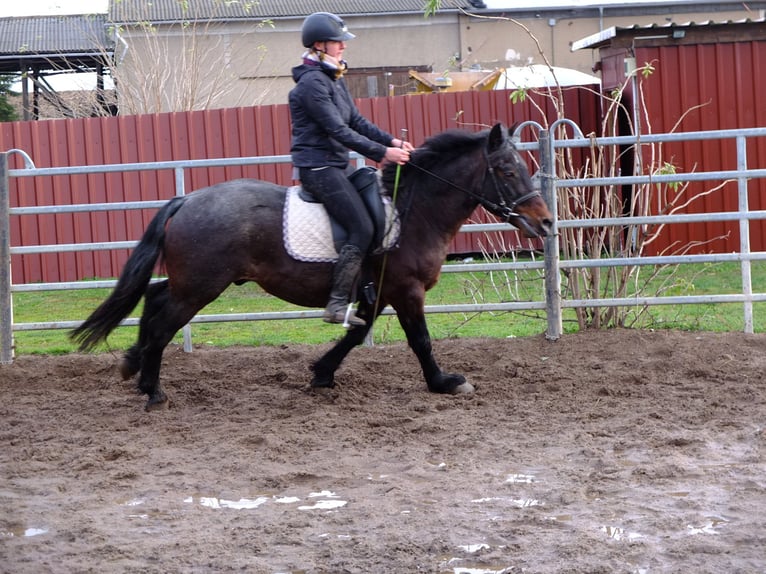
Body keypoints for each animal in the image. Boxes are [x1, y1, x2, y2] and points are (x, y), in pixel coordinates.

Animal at [70, 124, 552, 412]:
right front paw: (444, 382)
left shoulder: (378, 292)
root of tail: (187, 199)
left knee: (154, 300)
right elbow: (421, 341)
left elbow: (356, 334)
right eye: (507, 170)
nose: (546, 222)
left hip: (190, 283)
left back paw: (134, 368)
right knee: (164, 322)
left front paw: (321, 373)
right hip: (200, 287)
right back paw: (153, 390)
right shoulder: (407, 291)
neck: (412, 212)